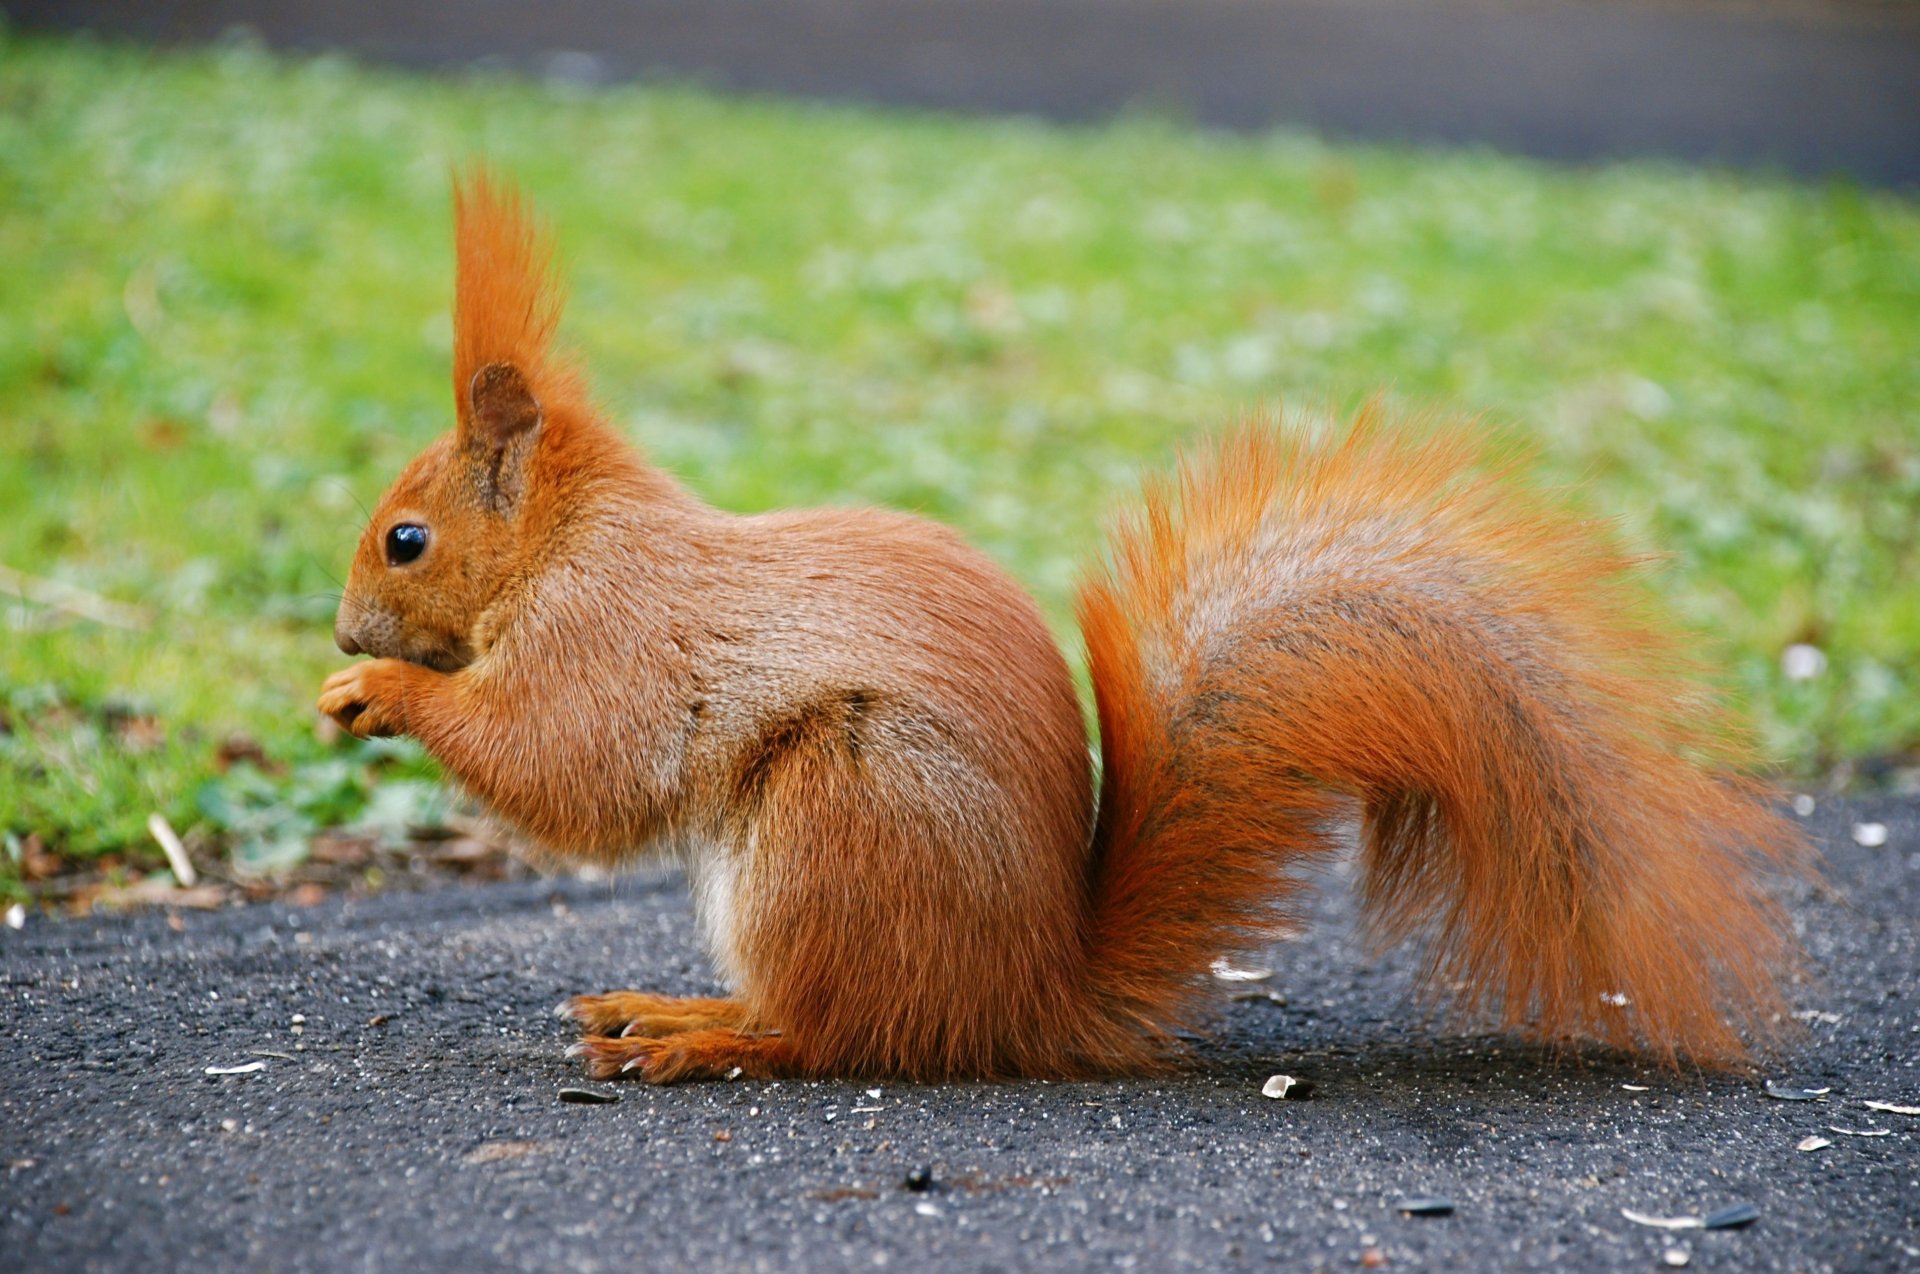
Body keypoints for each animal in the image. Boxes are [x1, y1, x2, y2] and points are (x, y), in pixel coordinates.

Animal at [319, 172, 1807, 1084]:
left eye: (407, 538)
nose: (340, 633)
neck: (569, 540)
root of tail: (1027, 995)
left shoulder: (610, 634)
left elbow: (573, 766)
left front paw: (386, 696)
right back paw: (669, 1006)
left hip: (840, 814)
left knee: (839, 1032)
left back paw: (700, 1033)